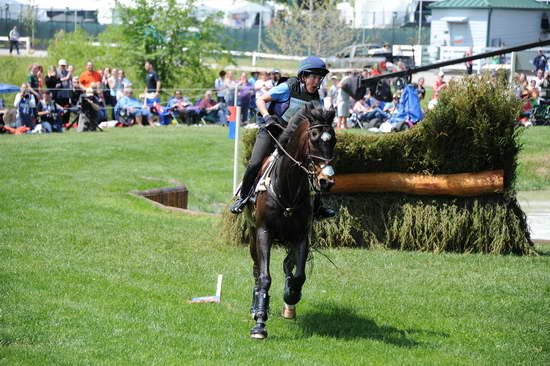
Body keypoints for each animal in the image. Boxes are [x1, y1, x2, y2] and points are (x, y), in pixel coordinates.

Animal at [249, 101, 336, 338]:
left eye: (334, 140)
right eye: (314, 138)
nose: (326, 181)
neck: (287, 187)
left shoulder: (300, 237)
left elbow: (299, 275)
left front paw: (291, 296)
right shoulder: (263, 233)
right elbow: (265, 276)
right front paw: (260, 323)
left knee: (288, 266)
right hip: (253, 237)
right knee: (257, 270)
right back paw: (255, 307)